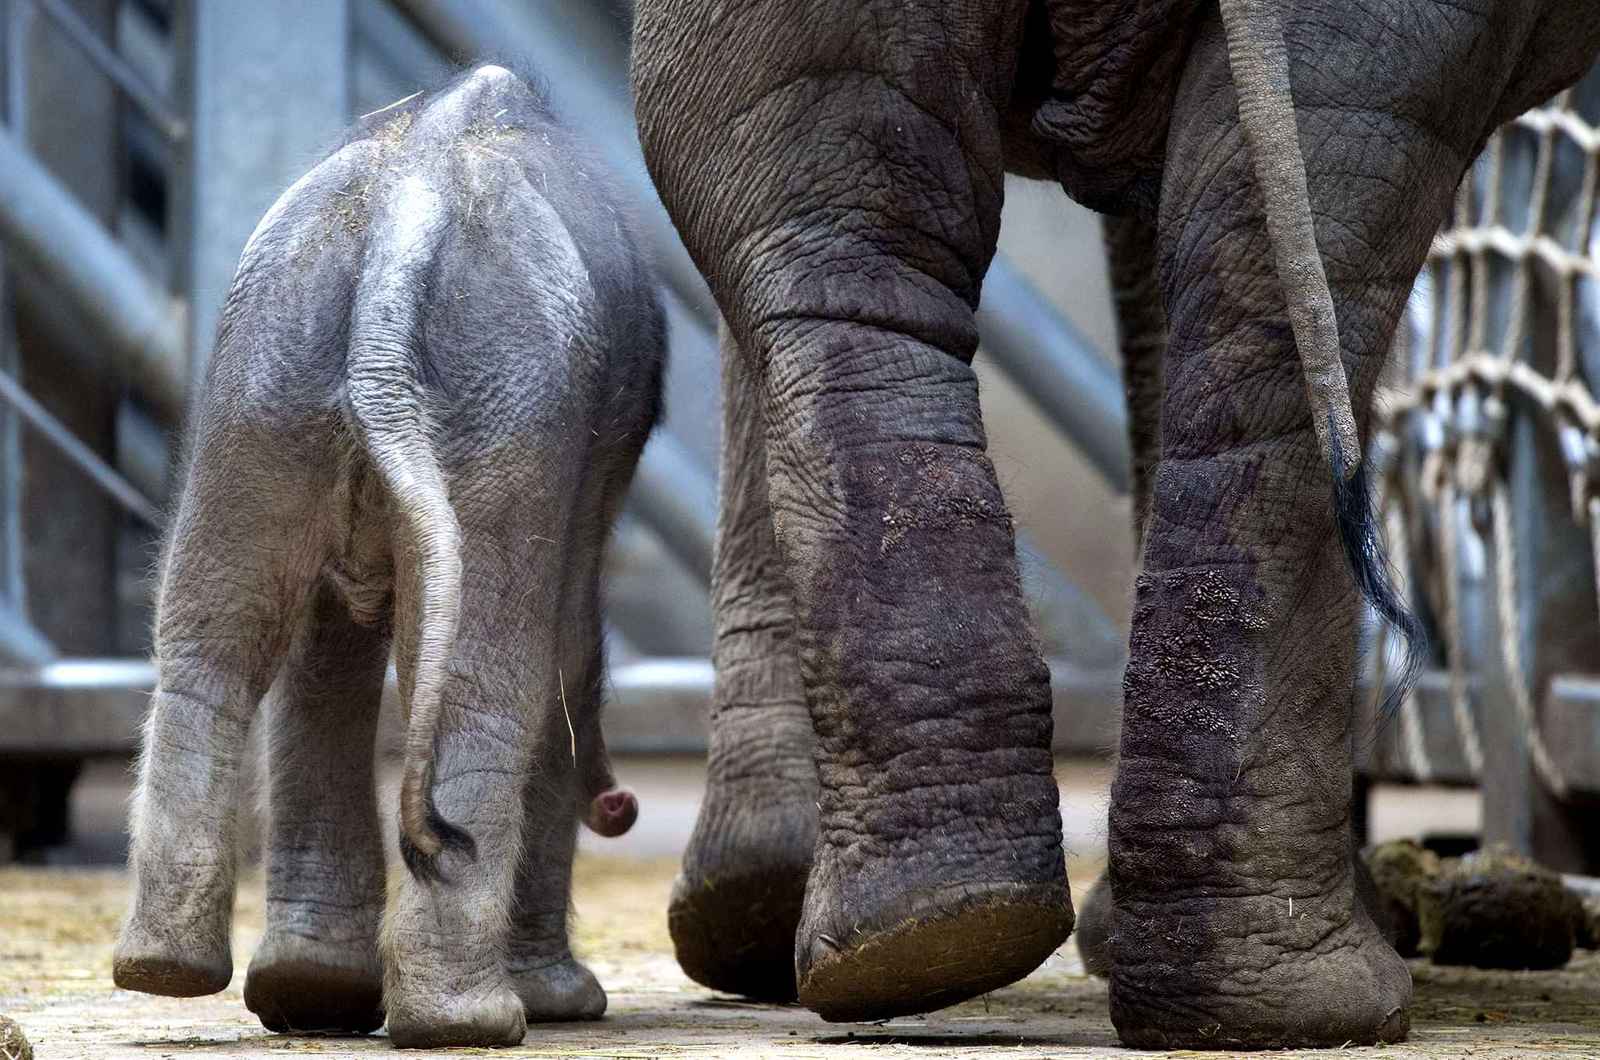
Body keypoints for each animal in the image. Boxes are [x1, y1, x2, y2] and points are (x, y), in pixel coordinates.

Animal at [112, 68, 662, 1056]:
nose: (622, 807)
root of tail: (409, 216)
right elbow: (566, 655)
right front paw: (562, 1004)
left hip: (267, 372)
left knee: (219, 640)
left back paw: (198, 976)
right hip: (497, 397)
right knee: (493, 676)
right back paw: (472, 1020)